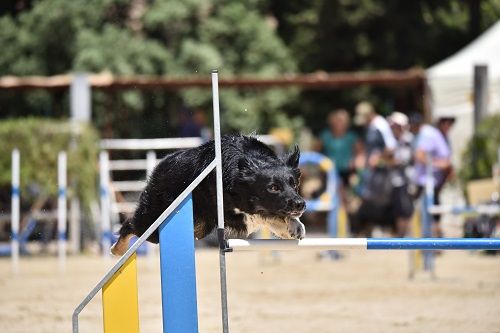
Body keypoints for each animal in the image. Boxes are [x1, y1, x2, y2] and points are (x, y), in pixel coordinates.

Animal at [111, 134, 304, 253]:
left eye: (294, 184)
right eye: (273, 187)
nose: (300, 204)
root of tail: (163, 162)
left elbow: (276, 215)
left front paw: (294, 226)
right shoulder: (227, 212)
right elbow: (264, 215)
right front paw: (287, 226)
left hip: (198, 227)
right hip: (155, 224)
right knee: (130, 224)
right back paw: (117, 249)